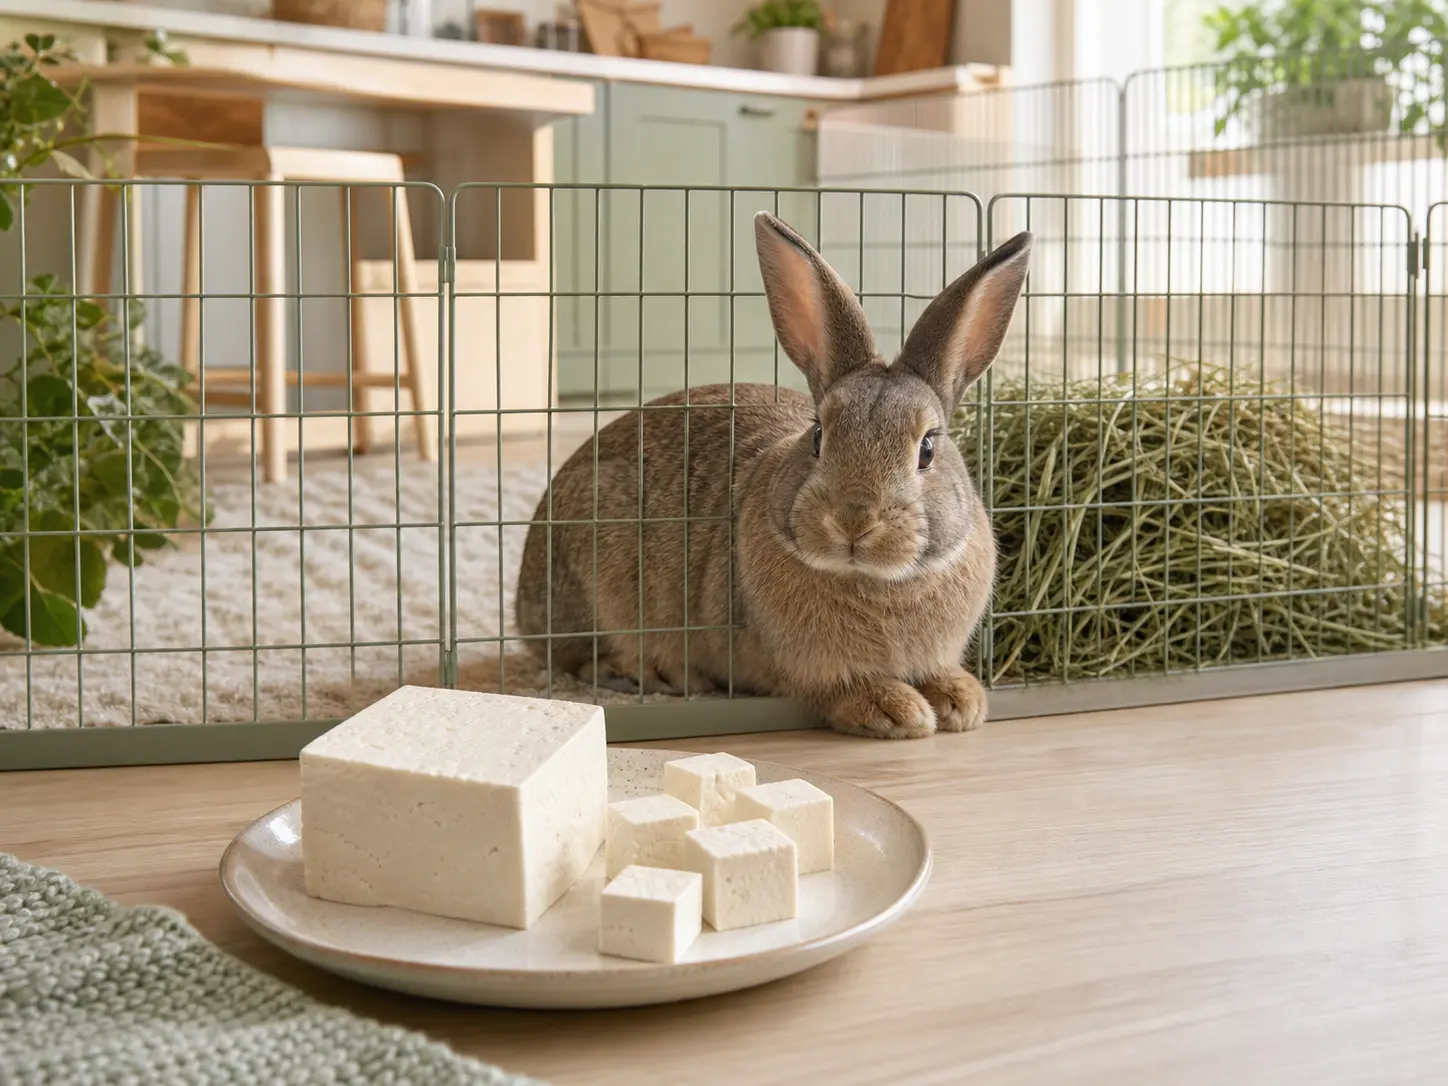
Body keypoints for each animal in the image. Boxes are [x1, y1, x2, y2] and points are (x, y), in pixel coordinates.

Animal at [515, 212, 1032, 739]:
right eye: (819, 436)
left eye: (927, 450)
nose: (853, 522)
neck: (875, 580)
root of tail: (523, 602)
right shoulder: (794, 667)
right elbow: (834, 690)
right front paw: (897, 711)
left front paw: (962, 700)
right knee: (579, 659)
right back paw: (657, 672)